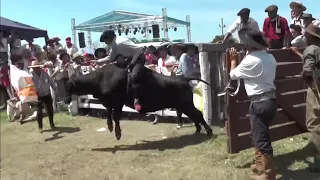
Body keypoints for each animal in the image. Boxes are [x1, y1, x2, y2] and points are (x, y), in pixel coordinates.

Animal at [65, 64, 212, 140]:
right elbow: (109, 115)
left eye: (68, 86)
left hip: (186, 104)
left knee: (198, 115)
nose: (66, 100)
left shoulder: (118, 103)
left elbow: (115, 117)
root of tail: (183, 78)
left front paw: (117, 133)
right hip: (183, 105)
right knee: (194, 115)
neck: (100, 78)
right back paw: (198, 130)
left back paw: (208, 131)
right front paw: (110, 127)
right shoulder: (109, 103)